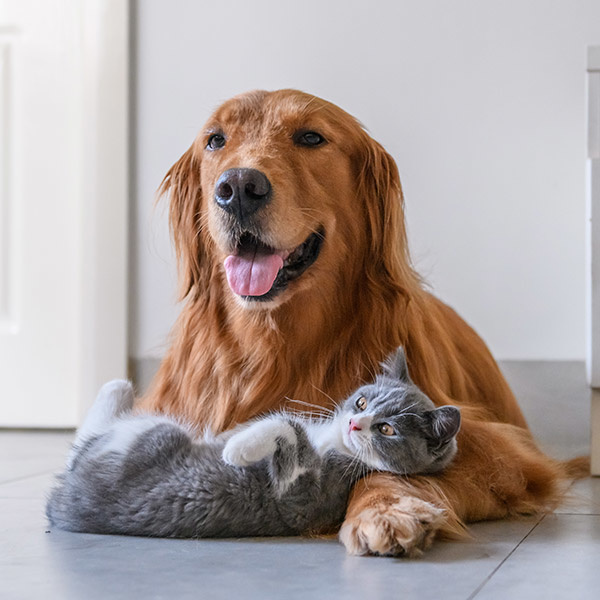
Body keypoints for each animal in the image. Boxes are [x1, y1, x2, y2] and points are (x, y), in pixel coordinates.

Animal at [47, 350, 462, 536]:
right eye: (361, 402)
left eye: (388, 430)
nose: (355, 424)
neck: (336, 443)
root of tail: (62, 503)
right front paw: (234, 436)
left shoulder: (307, 491)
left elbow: (287, 427)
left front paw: (237, 449)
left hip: (152, 438)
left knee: (87, 445)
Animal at [137, 89, 584, 556]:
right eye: (215, 140)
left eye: (311, 137)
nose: (239, 187)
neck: (274, 347)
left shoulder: (504, 455)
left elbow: (387, 463)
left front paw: (386, 510)